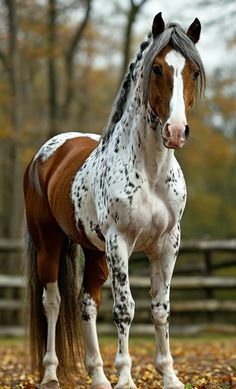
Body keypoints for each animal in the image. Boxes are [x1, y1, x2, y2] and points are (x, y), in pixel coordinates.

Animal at [23, 12, 205, 388]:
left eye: (194, 71)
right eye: (157, 68)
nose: (175, 131)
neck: (150, 171)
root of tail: (47, 153)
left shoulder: (168, 243)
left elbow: (160, 308)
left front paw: (169, 376)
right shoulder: (119, 242)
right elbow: (125, 309)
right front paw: (125, 377)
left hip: (95, 251)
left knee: (87, 303)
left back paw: (98, 376)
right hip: (49, 243)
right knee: (53, 302)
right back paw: (50, 374)